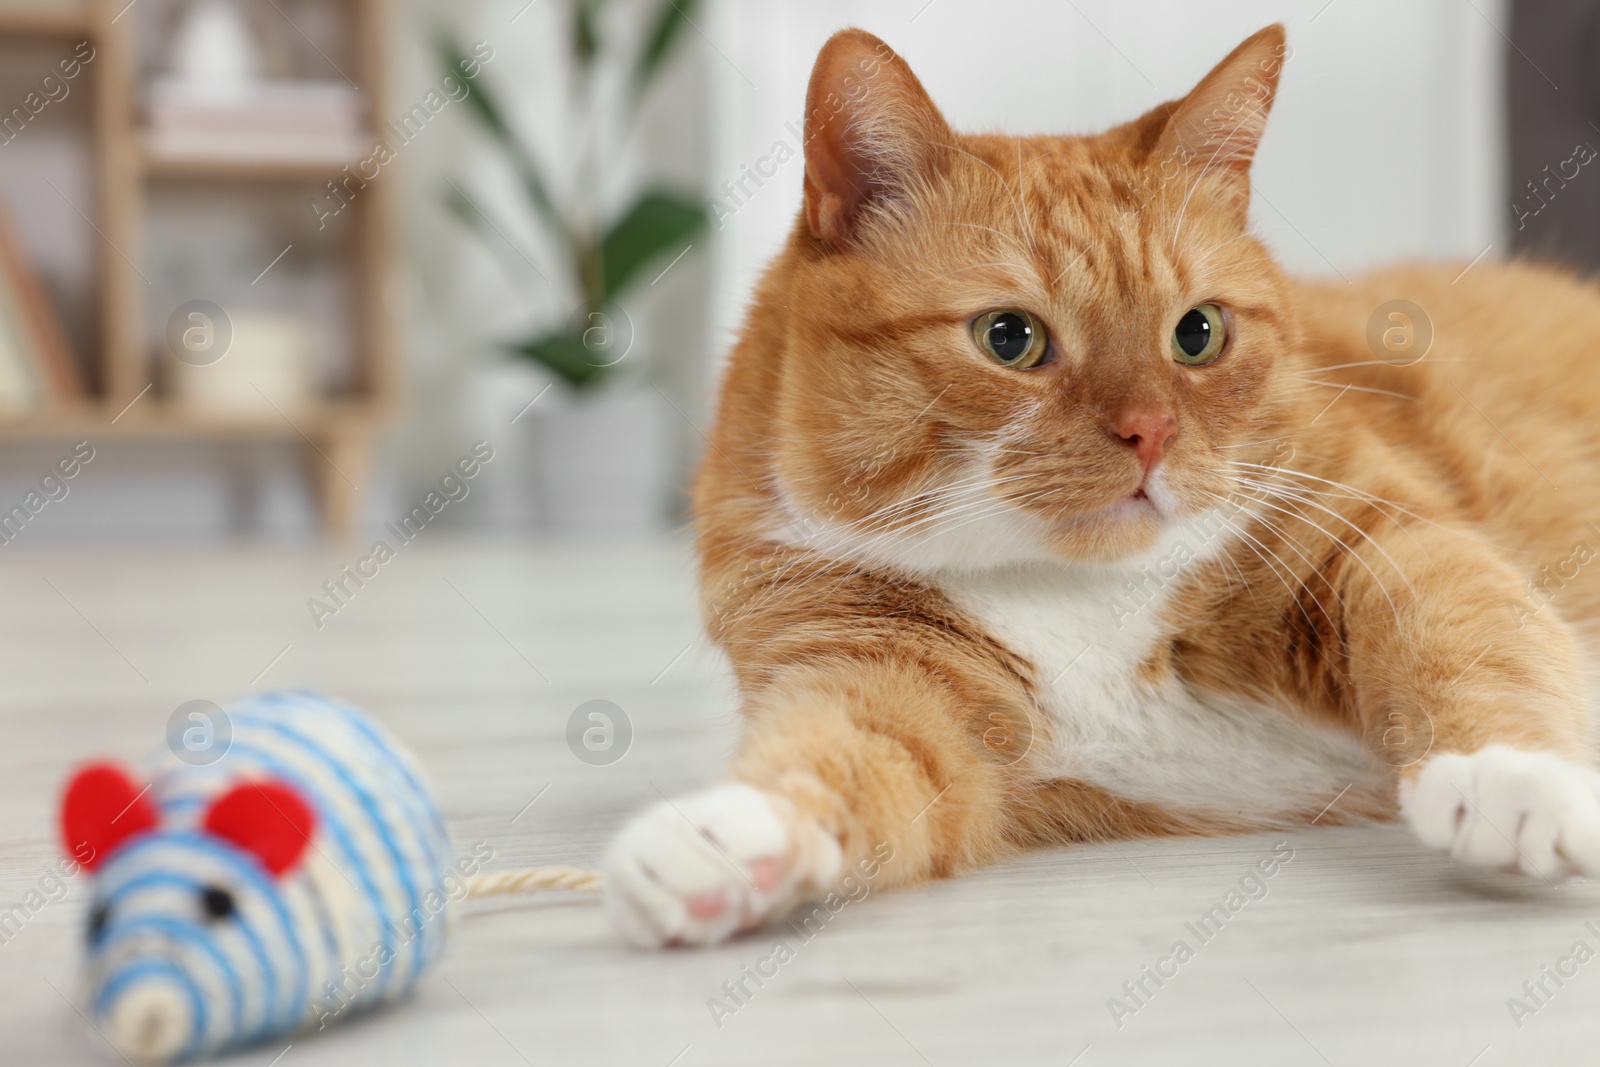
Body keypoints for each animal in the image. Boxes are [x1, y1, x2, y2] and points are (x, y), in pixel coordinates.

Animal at [601, 22, 1600, 940]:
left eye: (1198, 332)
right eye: (1009, 338)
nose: (1150, 431)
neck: (1077, 593)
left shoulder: (1381, 540)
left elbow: (1469, 641)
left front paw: (1514, 777)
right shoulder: (876, 667)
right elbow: (841, 754)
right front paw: (729, 838)